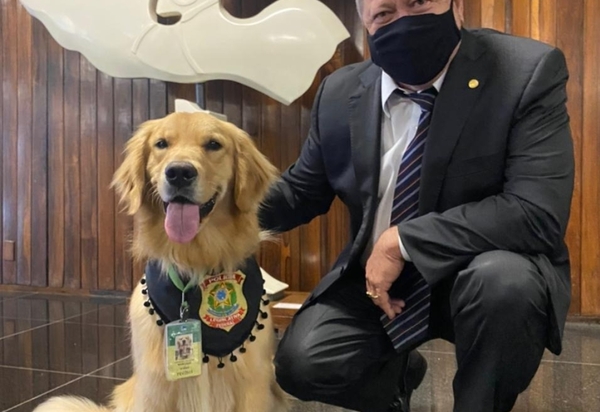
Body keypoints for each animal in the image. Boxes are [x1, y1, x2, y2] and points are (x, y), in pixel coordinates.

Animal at [33, 112, 288, 412]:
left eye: (214, 144)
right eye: (161, 144)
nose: (179, 172)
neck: (194, 264)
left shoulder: (252, 386)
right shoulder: (154, 388)